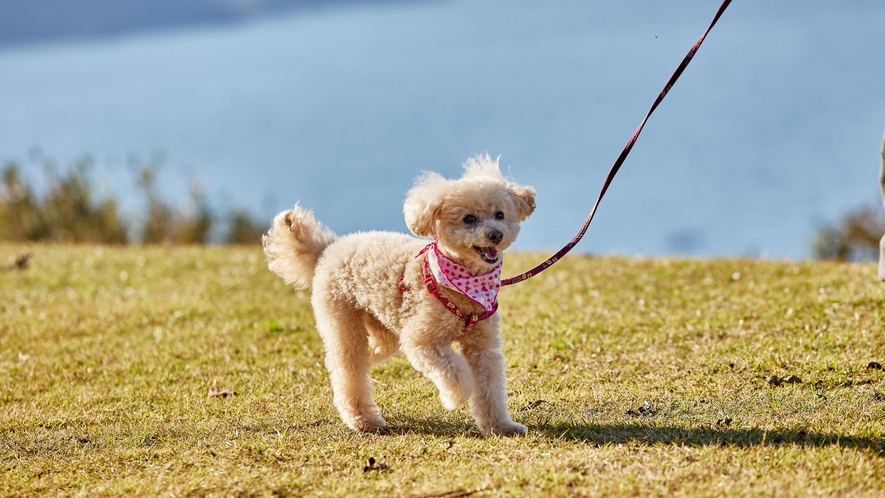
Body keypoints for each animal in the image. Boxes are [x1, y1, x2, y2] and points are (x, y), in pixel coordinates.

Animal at [262, 156, 536, 436]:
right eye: (468, 219)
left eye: (500, 214)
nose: (495, 234)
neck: (463, 286)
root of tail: (327, 248)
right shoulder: (422, 341)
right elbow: (455, 373)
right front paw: (455, 397)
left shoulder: (483, 345)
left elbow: (491, 387)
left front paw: (501, 427)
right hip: (341, 318)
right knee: (348, 368)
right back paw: (363, 420)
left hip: (382, 326)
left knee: (368, 352)